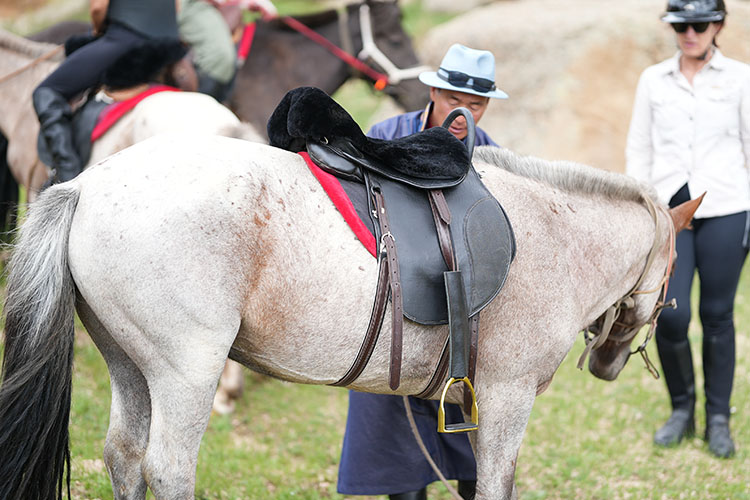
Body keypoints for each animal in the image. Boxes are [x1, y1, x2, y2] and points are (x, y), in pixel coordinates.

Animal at [0, 133, 700, 499]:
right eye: (672, 276)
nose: (609, 363)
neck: (552, 234)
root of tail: (87, 184)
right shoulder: (509, 397)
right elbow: (496, 484)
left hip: (129, 364)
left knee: (123, 455)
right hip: (186, 374)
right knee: (167, 467)